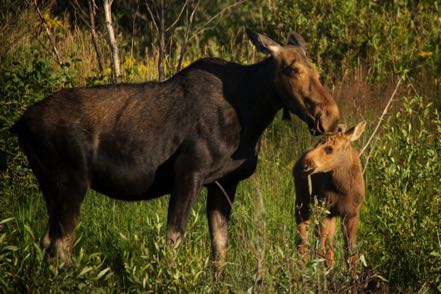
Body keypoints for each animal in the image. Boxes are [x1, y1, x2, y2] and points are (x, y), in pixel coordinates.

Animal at [12, 29, 338, 268]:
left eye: (314, 68)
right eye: (292, 69)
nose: (330, 117)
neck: (252, 114)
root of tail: (20, 124)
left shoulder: (225, 181)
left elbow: (220, 246)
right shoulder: (189, 172)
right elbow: (173, 239)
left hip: (50, 185)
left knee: (48, 241)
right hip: (72, 180)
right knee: (61, 244)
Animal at [292, 121, 364, 272]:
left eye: (330, 149)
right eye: (317, 143)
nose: (305, 164)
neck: (344, 188)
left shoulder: (351, 214)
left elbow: (351, 252)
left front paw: (352, 275)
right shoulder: (325, 209)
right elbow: (322, 248)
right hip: (302, 202)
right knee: (303, 239)